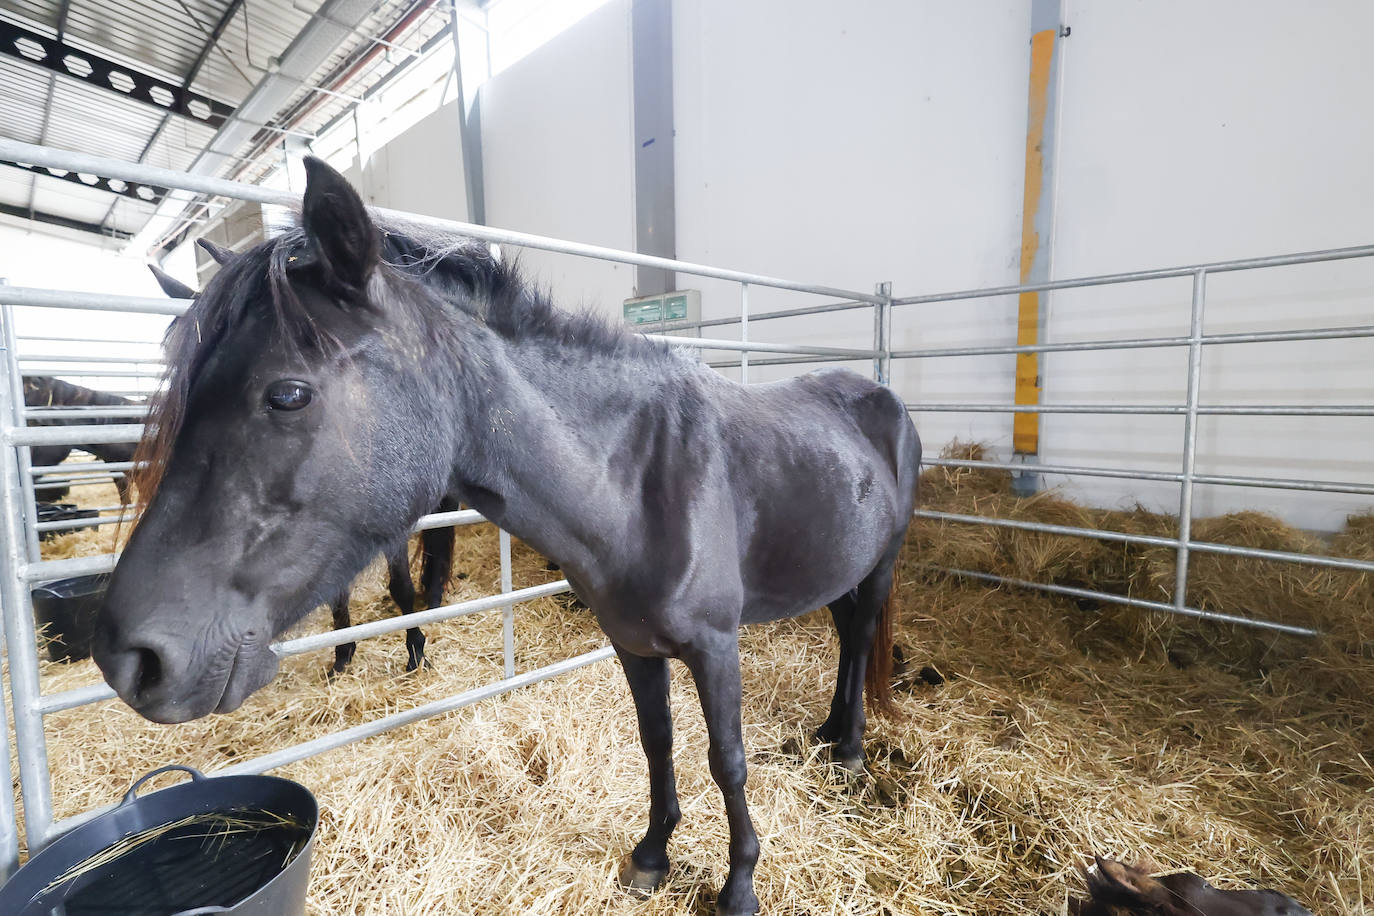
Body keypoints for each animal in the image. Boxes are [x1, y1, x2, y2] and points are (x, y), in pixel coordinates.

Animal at [96, 161, 923, 911]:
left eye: (288, 394)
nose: (130, 656)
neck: (641, 480)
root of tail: (880, 397)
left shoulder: (715, 646)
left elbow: (728, 760)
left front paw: (740, 884)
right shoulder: (635, 644)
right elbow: (657, 742)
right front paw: (652, 855)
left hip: (881, 564)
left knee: (861, 635)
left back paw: (851, 750)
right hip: (836, 568)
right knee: (846, 634)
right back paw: (829, 730)